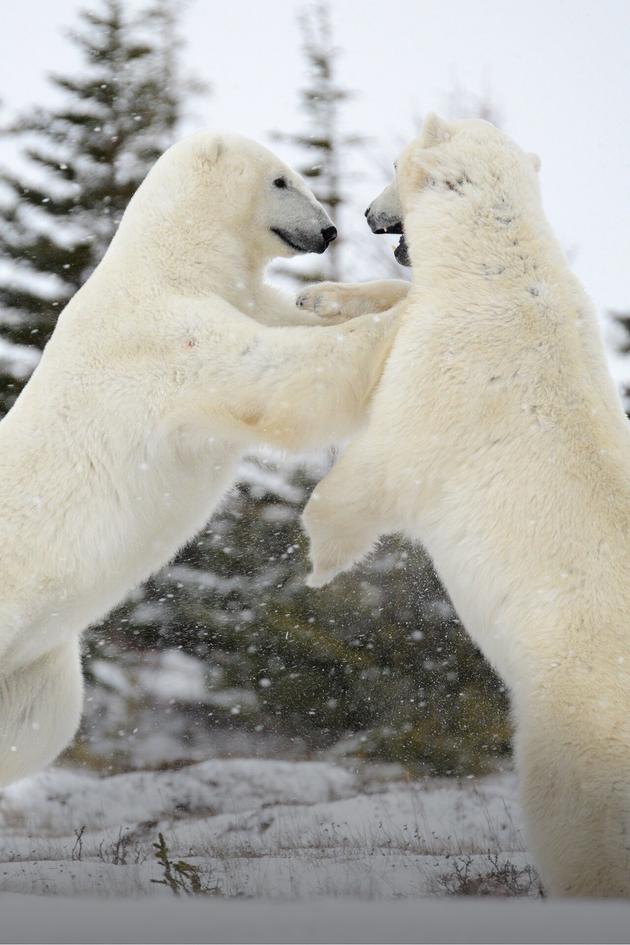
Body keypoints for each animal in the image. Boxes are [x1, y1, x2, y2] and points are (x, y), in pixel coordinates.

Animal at [0, 132, 401, 786]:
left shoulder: (243, 298)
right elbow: (284, 376)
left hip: (34, 664)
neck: (173, 261)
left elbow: (291, 323)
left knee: (38, 726)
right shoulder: (166, 336)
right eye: (281, 179)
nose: (329, 230)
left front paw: (331, 296)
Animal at [299, 114, 630, 898]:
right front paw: (317, 299)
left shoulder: (452, 372)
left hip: (574, 718)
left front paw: (317, 561)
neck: (497, 267)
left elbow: (378, 467)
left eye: (392, 164)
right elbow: (396, 305)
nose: (367, 214)